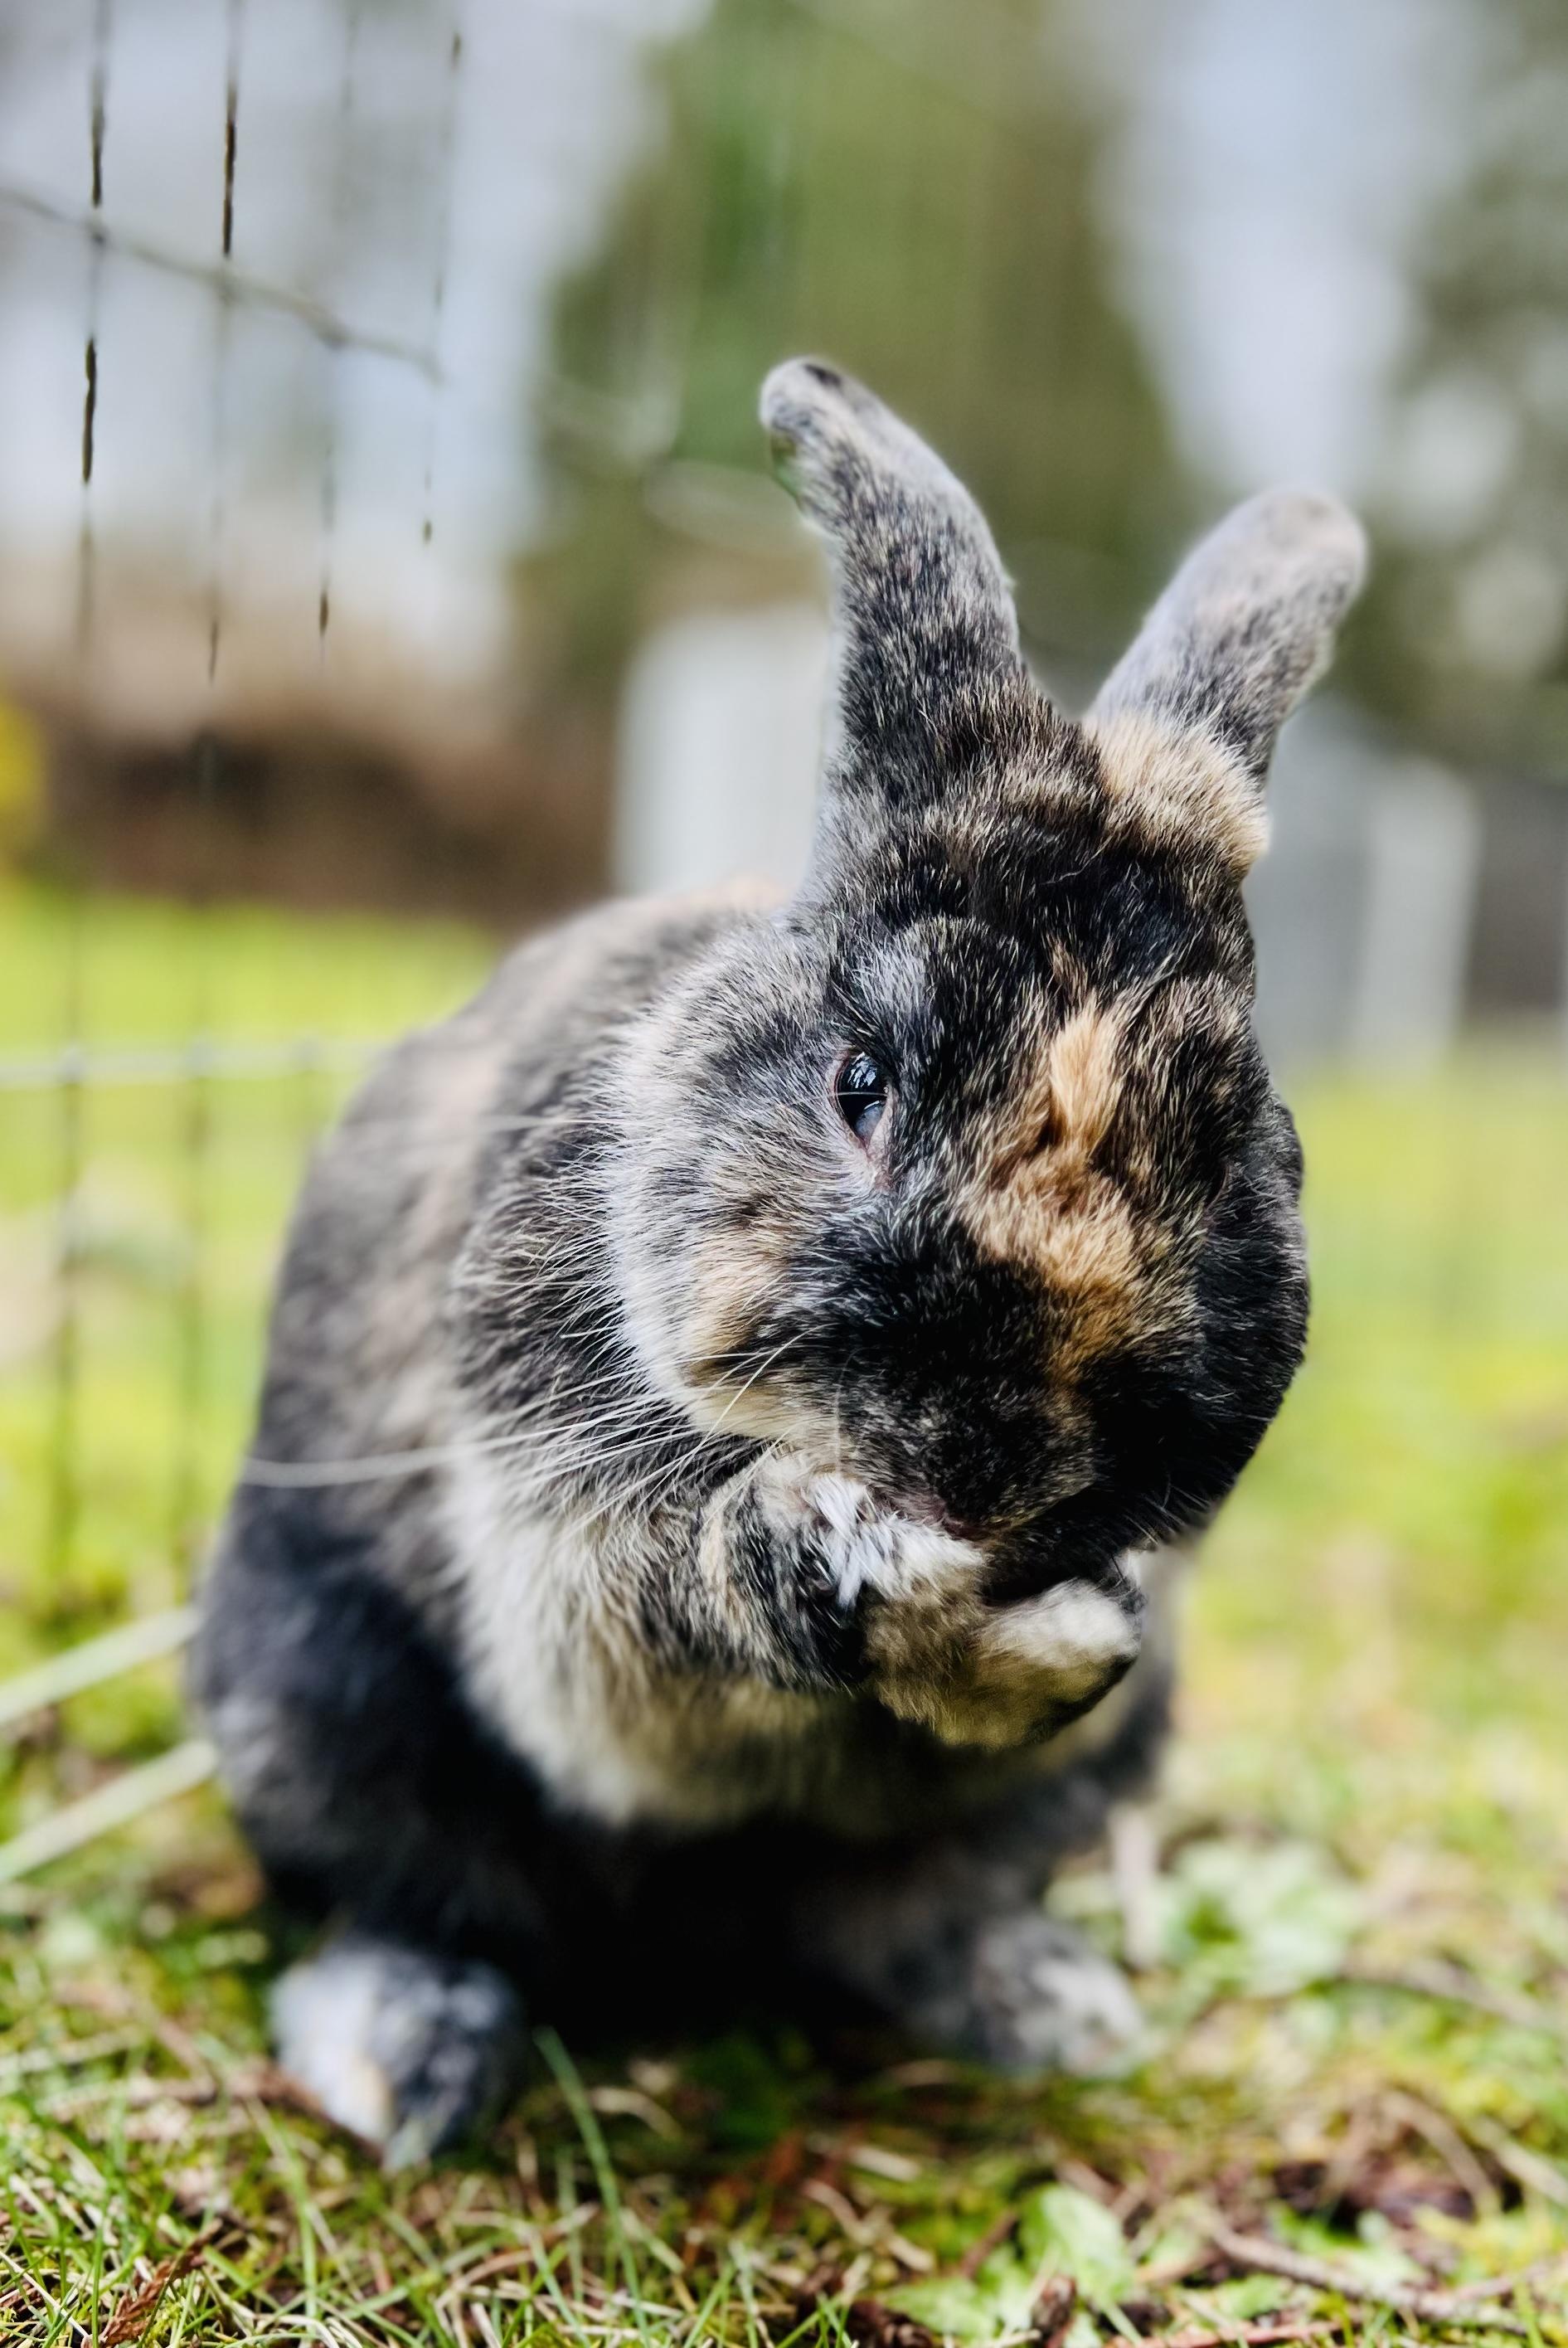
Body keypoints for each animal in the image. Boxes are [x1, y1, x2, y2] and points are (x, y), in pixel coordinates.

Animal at [193, 357, 1365, 2165]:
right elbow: (693, 1606)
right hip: (310, 1700)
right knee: (408, 1897)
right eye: (859, 1085)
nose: (996, 1469)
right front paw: (944, 1602)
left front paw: (1034, 1632)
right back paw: (403, 2054)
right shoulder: (555, 1540)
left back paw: (1050, 2007)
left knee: (900, 1920)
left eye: (1235, 1132)